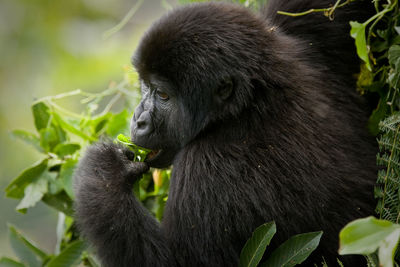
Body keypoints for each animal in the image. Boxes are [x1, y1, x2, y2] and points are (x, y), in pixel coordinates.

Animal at [73, 1, 376, 266]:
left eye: (163, 95)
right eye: (145, 86)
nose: (139, 119)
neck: (248, 104)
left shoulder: (204, 168)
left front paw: (103, 174)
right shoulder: (292, 39)